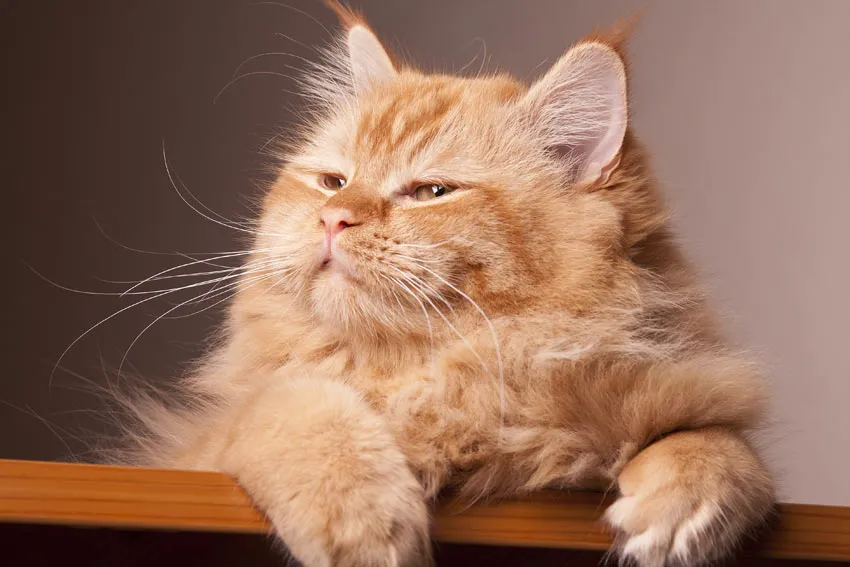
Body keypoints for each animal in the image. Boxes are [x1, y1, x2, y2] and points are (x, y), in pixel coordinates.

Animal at [119, 3, 775, 566]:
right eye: (333, 182)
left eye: (432, 192)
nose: (334, 219)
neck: (436, 379)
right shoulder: (195, 449)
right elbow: (292, 402)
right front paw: (363, 514)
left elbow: (720, 443)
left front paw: (689, 504)